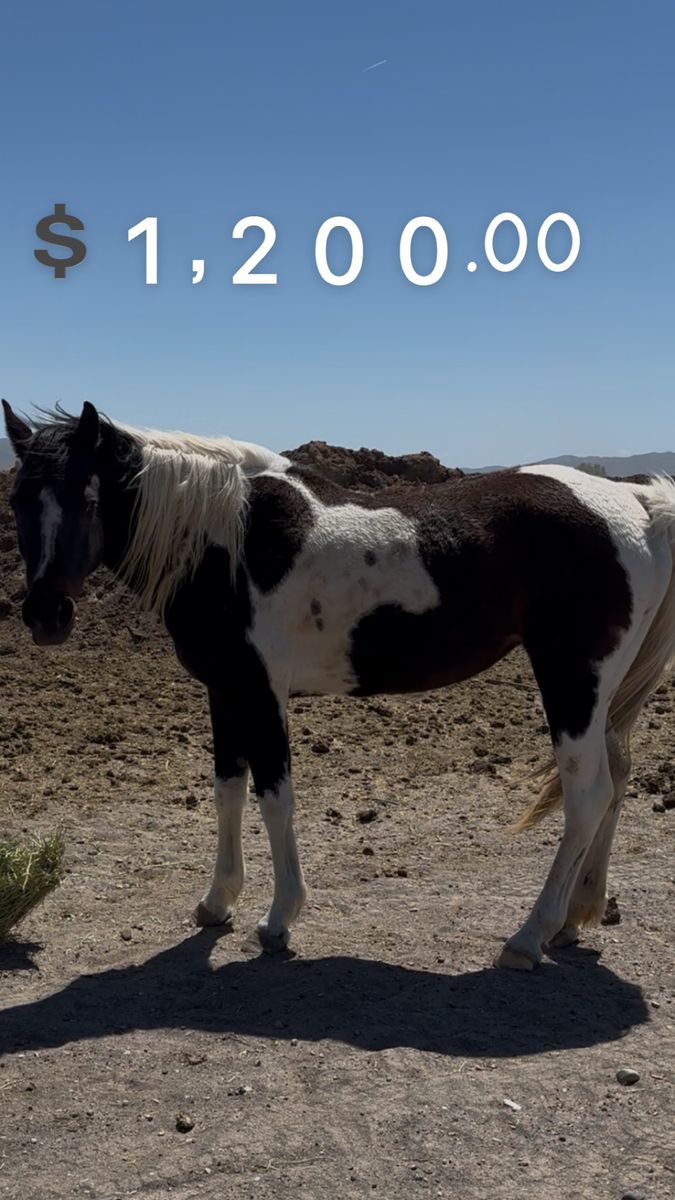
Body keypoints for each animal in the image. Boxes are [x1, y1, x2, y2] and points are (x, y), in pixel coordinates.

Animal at [4, 398, 675, 970]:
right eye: (16, 501)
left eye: (89, 498)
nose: (44, 616)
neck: (229, 540)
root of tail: (635, 503)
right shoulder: (225, 691)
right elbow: (228, 794)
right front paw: (217, 903)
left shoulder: (262, 693)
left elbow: (276, 799)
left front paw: (278, 919)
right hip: (601, 693)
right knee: (616, 781)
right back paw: (576, 918)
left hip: (573, 682)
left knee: (587, 794)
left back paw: (530, 935)